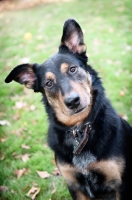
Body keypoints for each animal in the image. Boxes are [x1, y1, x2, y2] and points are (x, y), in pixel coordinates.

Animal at [4, 19, 132, 200]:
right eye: (48, 83)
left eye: (72, 69)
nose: (72, 101)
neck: (79, 130)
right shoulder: (74, 186)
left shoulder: (120, 185)